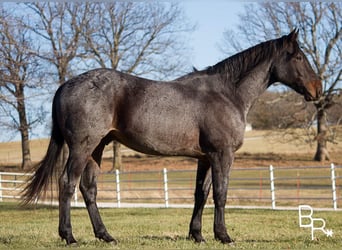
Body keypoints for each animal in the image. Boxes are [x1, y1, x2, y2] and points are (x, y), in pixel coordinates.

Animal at [22, 30, 322, 245]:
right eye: (298, 57)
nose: (317, 89)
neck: (227, 93)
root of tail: (66, 84)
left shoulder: (205, 157)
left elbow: (201, 193)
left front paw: (197, 235)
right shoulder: (222, 155)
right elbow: (221, 193)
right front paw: (223, 235)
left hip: (97, 148)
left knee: (88, 189)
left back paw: (105, 236)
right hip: (81, 147)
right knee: (67, 184)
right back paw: (69, 236)